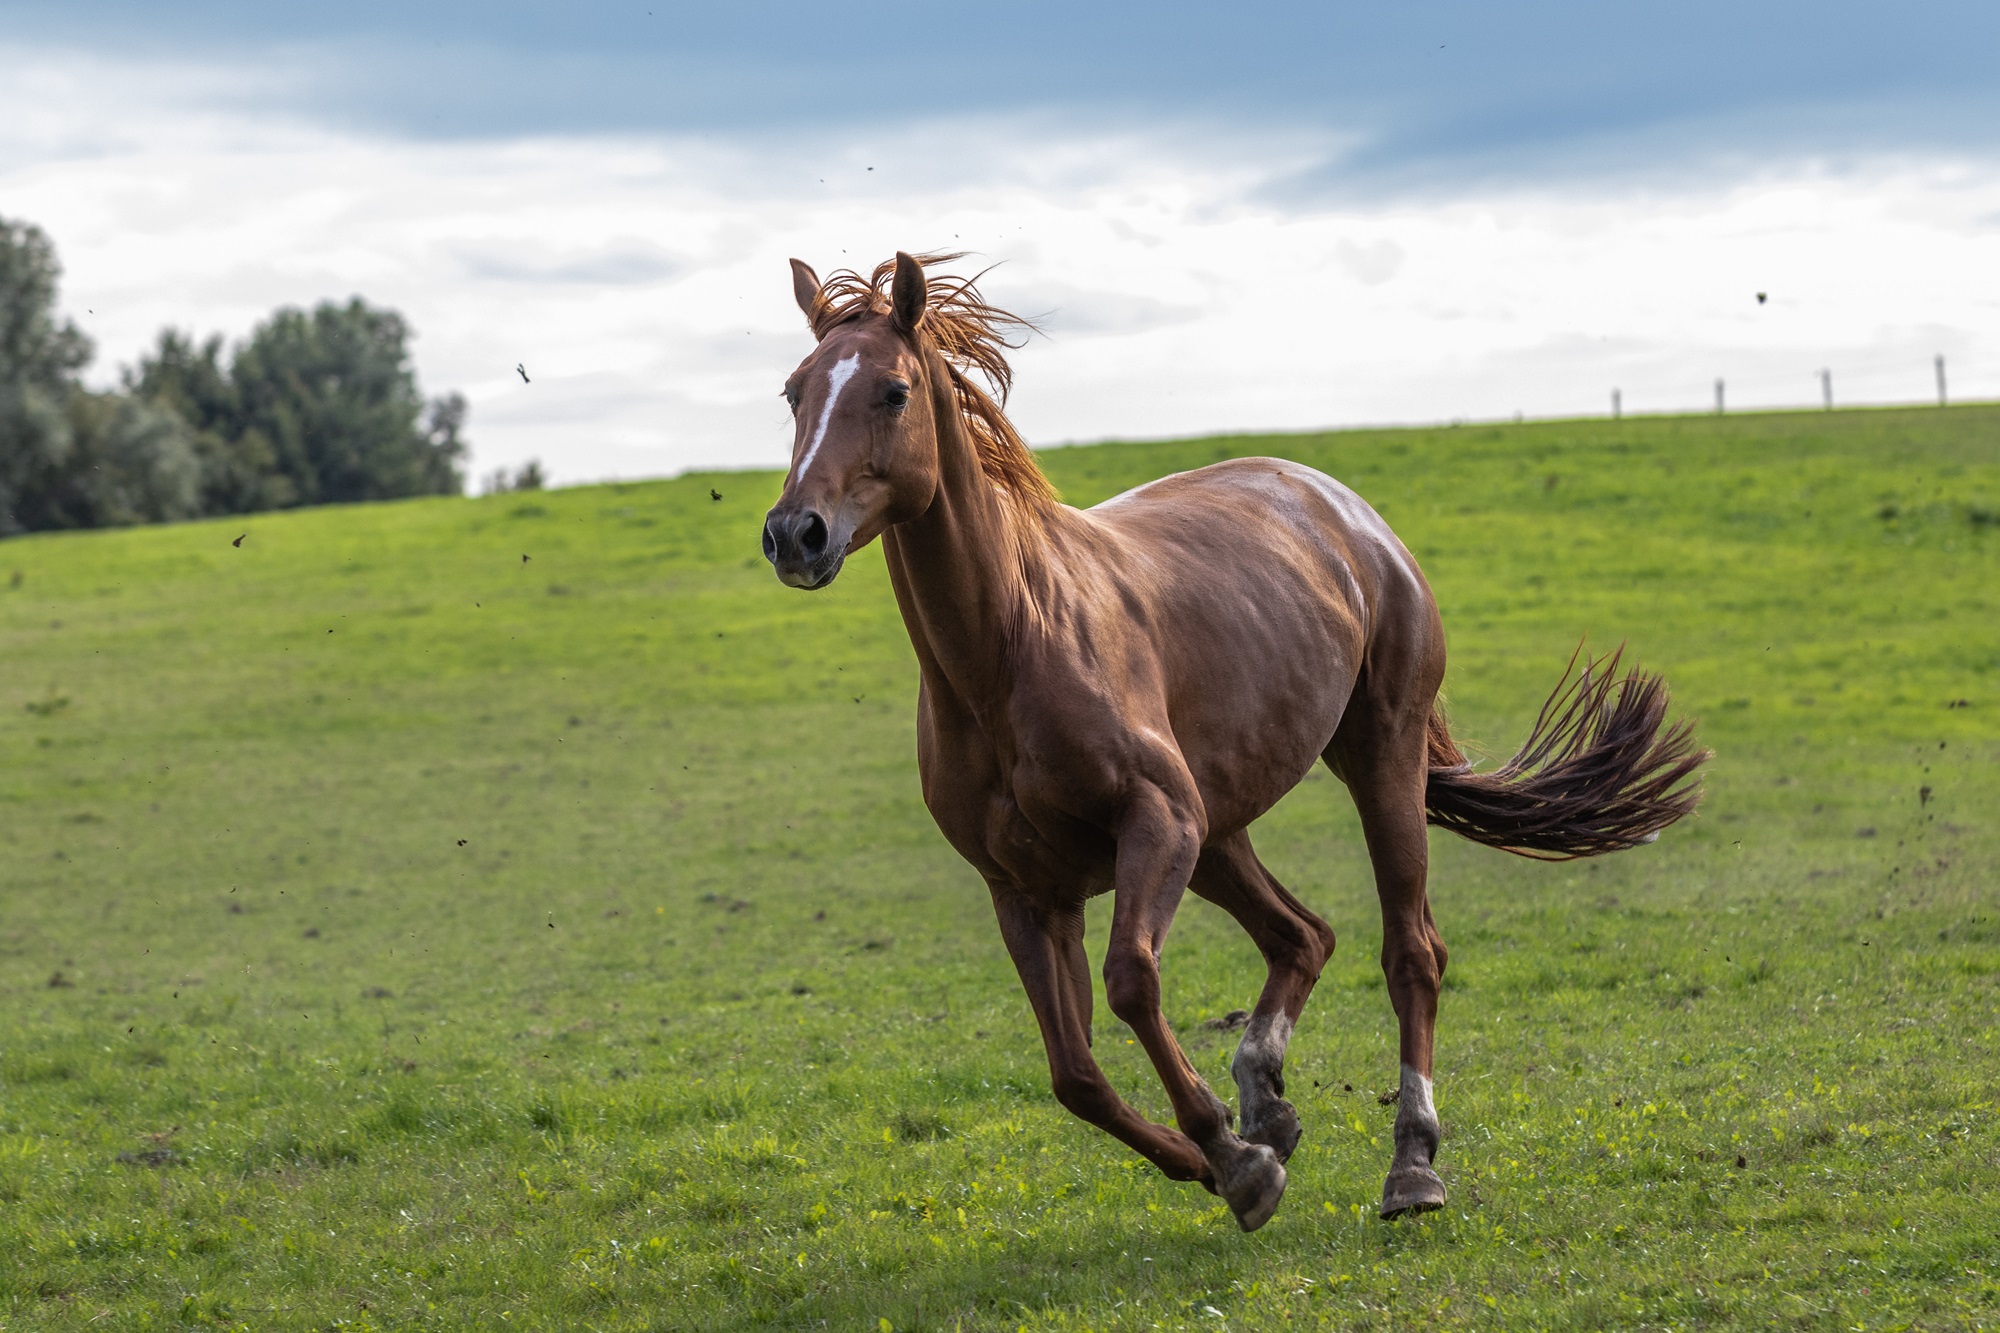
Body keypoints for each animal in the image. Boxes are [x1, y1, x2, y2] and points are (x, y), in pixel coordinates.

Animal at [760, 249, 1704, 1224]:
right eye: (794, 393)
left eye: (893, 391)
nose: (795, 533)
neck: (1010, 646)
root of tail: (1346, 509)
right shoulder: (1024, 889)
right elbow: (1075, 1072)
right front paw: (1222, 1153)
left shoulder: (1157, 819)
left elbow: (1133, 980)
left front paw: (1233, 1154)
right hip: (1219, 833)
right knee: (1303, 936)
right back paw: (1267, 1097)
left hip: (1376, 755)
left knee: (1411, 950)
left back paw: (1411, 1163)